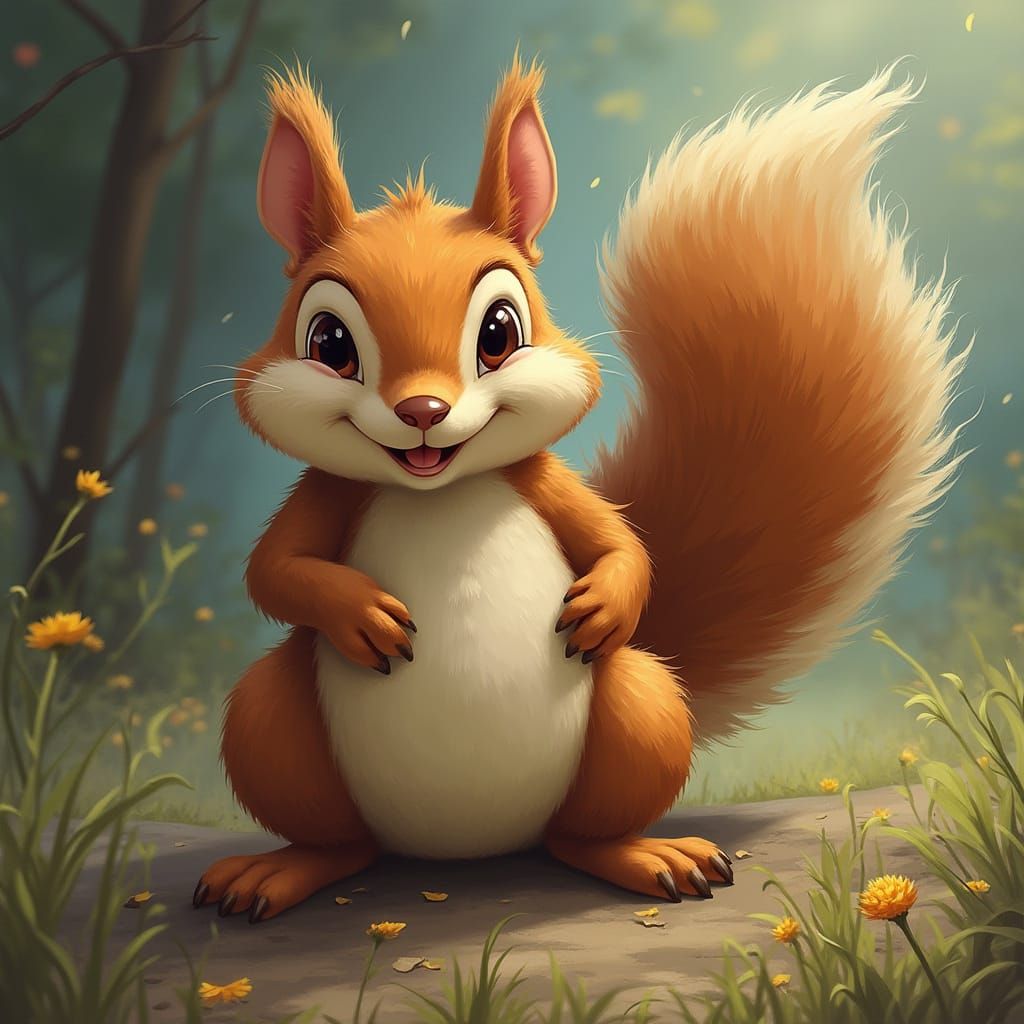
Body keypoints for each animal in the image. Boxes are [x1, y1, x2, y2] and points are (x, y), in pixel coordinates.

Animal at [192, 56, 965, 923]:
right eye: (328, 344)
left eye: (500, 333)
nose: (422, 413)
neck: (437, 489)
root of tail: (460, 852)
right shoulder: (326, 492)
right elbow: (274, 572)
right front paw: (360, 613)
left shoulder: (547, 483)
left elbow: (626, 547)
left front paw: (604, 602)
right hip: (270, 724)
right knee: (338, 837)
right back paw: (280, 870)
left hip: (640, 708)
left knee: (580, 834)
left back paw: (649, 855)